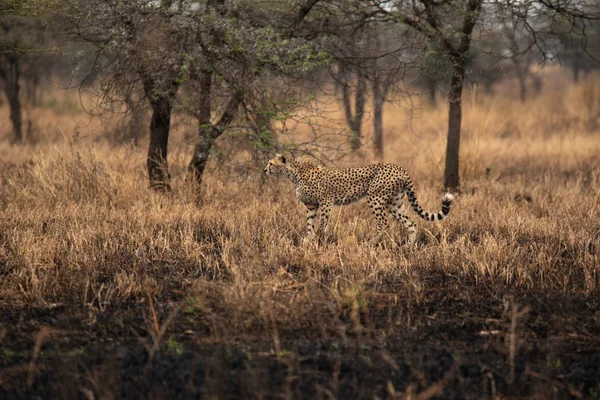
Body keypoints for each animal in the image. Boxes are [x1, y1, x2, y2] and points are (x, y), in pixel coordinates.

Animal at [264, 154, 454, 245]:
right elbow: (309, 225)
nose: (265, 170)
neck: (294, 173)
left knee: (384, 223)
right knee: (411, 224)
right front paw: (308, 242)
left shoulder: (325, 202)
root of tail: (399, 167)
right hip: (395, 203)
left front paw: (318, 240)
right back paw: (408, 248)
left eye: (271, 163)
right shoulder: (311, 206)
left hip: (374, 197)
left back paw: (370, 243)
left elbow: (322, 224)